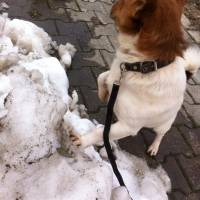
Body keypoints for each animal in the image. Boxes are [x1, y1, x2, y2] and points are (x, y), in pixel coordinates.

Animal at [71, 0, 200, 156]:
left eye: (122, 2)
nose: (113, 4)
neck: (145, 66)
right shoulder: (114, 77)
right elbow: (102, 77)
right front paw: (103, 95)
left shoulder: (128, 127)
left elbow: (100, 132)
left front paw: (83, 141)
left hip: (163, 124)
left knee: (160, 134)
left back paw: (154, 147)